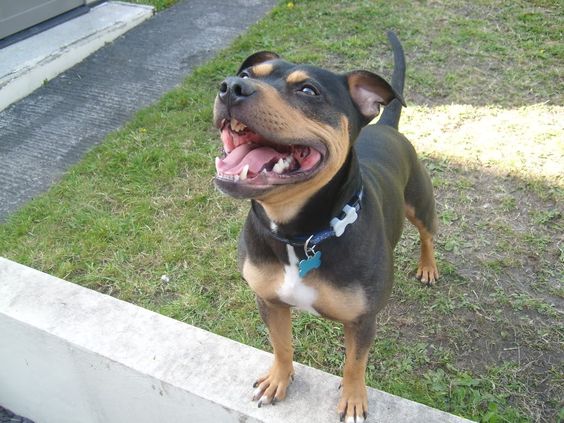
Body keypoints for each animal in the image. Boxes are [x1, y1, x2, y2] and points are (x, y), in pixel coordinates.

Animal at [214, 31, 438, 422]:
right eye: (247, 73)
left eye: (308, 90)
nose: (231, 87)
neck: (297, 235)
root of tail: (385, 126)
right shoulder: (269, 301)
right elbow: (281, 345)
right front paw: (278, 380)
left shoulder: (362, 321)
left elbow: (354, 363)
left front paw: (353, 401)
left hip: (420, 203)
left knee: (427, 234)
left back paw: (428, 266)